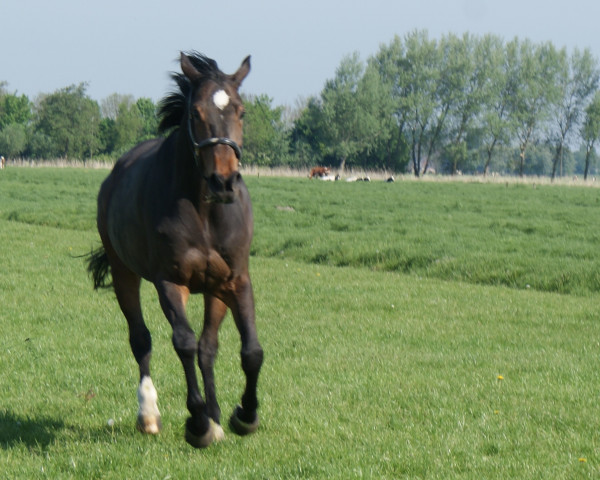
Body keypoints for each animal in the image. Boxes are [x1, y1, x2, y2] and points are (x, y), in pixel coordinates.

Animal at [86, 53, 262, 450]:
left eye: (241, 110)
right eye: (195, 112)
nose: (223, 182)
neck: (205, 212)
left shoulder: (235, 281)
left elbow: (249, 350)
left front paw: (242, 415)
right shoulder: (170, 281)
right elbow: (182, 343)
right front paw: (197, 423)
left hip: (214, 290)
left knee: (208, 347)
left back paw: (216, 417)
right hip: (124, 273)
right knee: (141, 340)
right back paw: (149, 415)